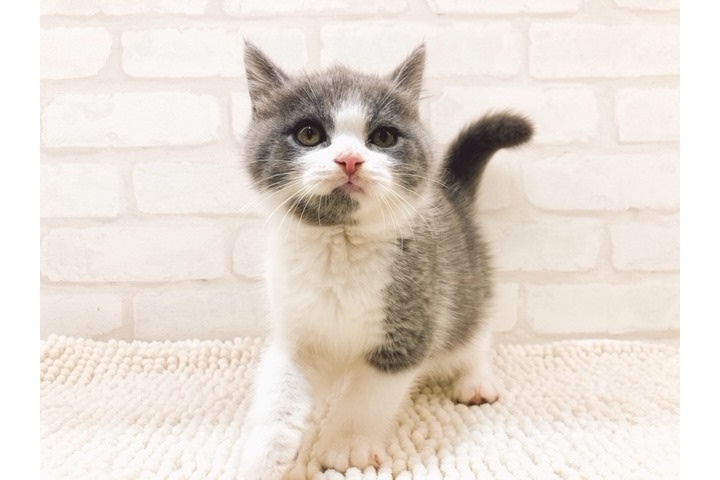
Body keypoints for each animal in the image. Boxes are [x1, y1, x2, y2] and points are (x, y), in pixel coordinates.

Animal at [237, 42, 533, 479]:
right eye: (309, 134)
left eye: (383, 137)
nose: (349, 159)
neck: (340, 246)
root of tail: (454, 196)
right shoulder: (298, 332)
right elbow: (280, 390)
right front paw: (266, 453)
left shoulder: (412, 324)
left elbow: (368, 394)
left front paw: (346, 447)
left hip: (466, 282)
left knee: (473, 331)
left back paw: (476, 380)